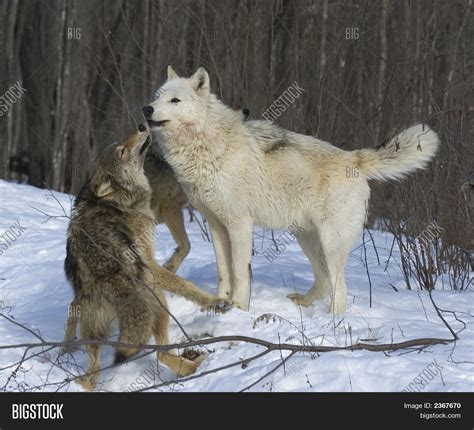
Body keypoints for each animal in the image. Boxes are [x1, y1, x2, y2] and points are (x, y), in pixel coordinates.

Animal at [62, 124, 228, 390]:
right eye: (121, 151)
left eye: (119, 144)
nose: (141, 126)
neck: (119, 202)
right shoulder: (149, 261)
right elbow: (184, 283)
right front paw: (214, 301)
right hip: (158, 304)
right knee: (161, 353)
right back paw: (195, 366)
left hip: (95, 331)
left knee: (92, 376)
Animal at [143, 67, 438, 314]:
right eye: (158, 97)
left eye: (175, 101)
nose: (146, 108)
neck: (205, 145)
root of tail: (355, 159)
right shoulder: (215, 224)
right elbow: (223, 272)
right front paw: (220, 302)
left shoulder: (240, 223)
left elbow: (240, 272)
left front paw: (238, 308)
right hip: (307, 239)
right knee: (324, 280)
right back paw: (304, 303)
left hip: (329, 243)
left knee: (340, 288)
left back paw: (332, 324)